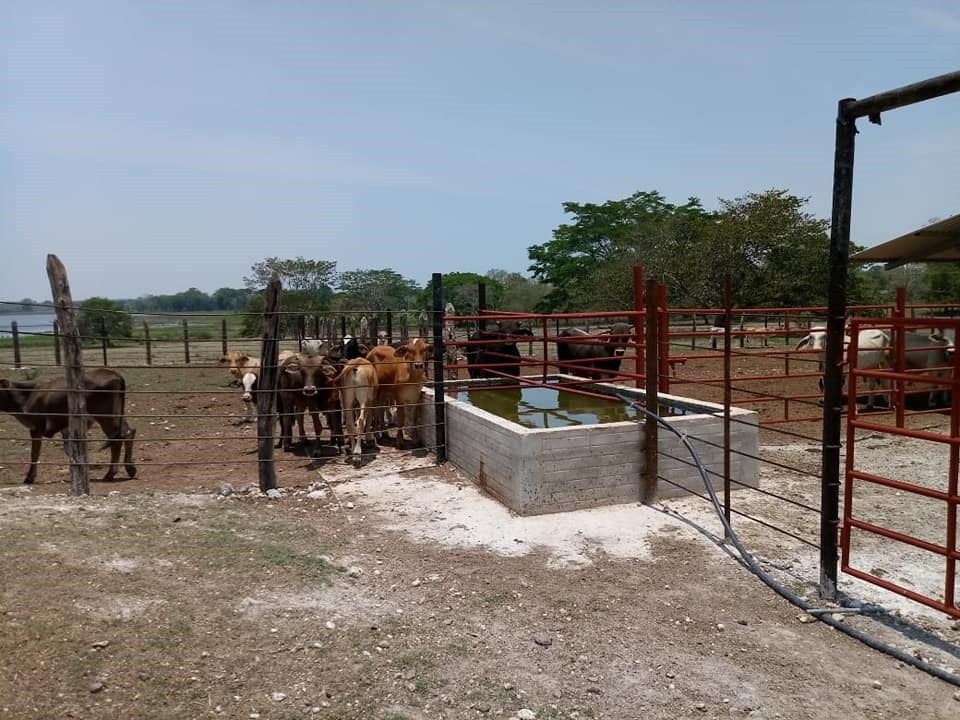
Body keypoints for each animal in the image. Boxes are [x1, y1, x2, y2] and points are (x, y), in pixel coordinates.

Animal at [0, 372, 137, 484]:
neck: (27, 396)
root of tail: (114, 374)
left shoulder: (36, 428)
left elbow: (35, 453)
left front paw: (29, 478)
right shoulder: (64, 428)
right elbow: (69, 449)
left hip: (106, 415)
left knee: (117, 439)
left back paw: (110, 474)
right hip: (117, 415)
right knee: (127, 433)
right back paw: (130, 469)